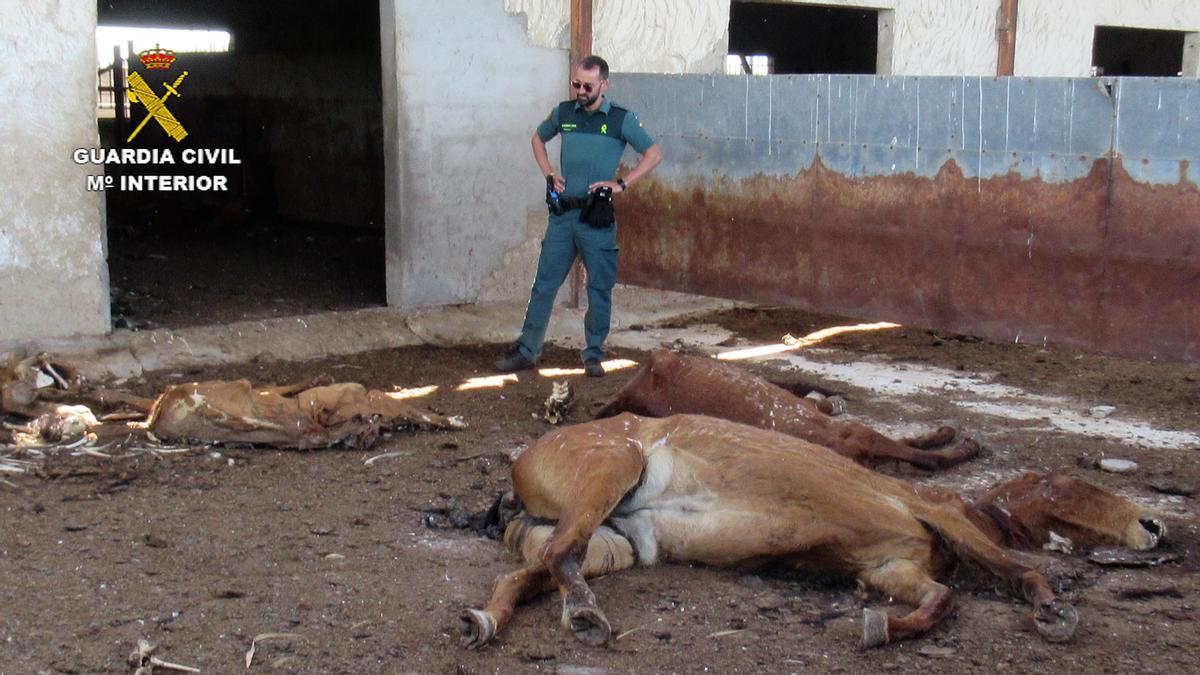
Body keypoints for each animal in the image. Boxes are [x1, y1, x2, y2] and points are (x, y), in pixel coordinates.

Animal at [458, 413, 1089, 648]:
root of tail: (520, 470)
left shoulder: (890, 565)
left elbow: (941, 599)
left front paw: (881, 625)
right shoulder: (936, 511)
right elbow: (1015, 568)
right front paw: (1052, 611)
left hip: (612, 544)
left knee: (530, 573)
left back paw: (484, 622)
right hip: (612, 465)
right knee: (561, 555)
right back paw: (587, 614)